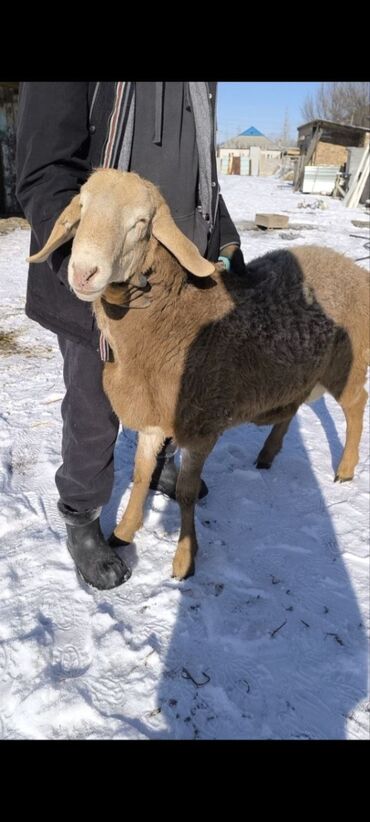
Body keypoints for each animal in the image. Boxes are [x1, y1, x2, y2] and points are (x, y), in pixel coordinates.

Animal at [28, 169, 370, 580]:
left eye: (141, 223)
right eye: (82, 208)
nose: (83, 272)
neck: (175, 317)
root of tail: (354, 268)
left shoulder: (202, 425)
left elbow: (187, 493)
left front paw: (184, 560)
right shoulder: (153, 417)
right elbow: (141, 474)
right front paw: (124, 532)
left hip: (347, 363)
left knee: (356, 404)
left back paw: (346, 469)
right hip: (296, 373)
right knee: (292, 409)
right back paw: (267, 455)